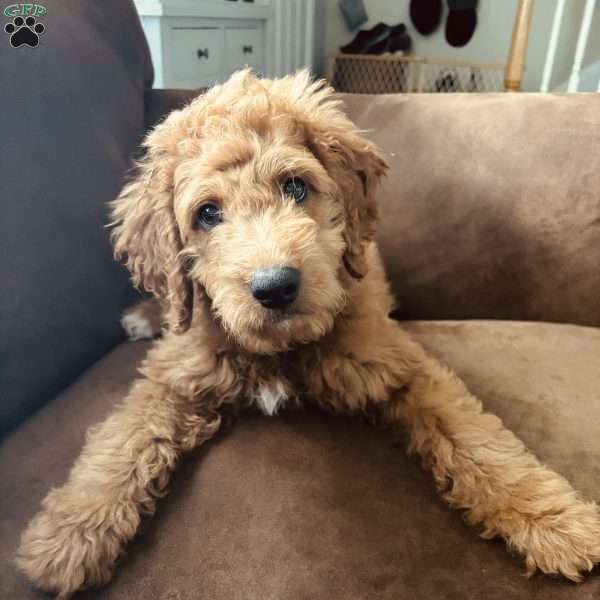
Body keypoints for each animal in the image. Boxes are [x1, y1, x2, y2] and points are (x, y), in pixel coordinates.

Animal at [15, 69, 600, 596]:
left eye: (295, 186)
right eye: (207, 213)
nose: (275, 287)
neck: (280, 351)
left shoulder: (398, 361)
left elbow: (474, 436)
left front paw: (555, 521)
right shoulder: (177, 373)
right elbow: (123, 439)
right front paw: (67, 534)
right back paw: (143, 315)